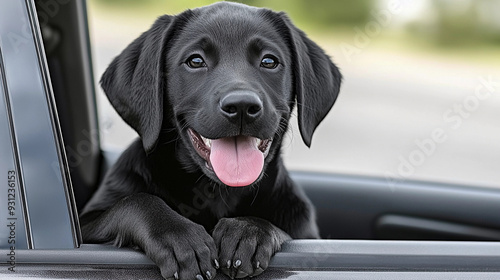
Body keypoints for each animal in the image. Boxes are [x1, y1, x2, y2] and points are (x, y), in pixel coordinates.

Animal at [81, 1, 340, 278]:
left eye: (269, 61)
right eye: (195, 61)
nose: (241, 106)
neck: (217, 193)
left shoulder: (304, 231)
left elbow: (281, 230)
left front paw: (247, 232)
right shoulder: (88, 224)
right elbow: (135, 202)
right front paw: (179, 237)